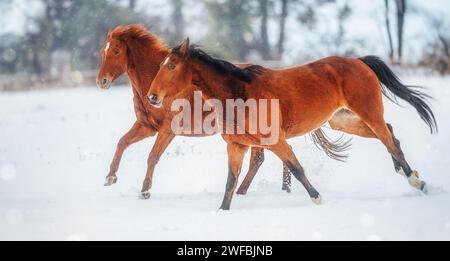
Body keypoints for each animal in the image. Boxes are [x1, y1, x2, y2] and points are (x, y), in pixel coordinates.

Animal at [95, 24, 342, 197]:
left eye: (116, 51)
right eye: (102, 51)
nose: (101, 81)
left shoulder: (167, 130)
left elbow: (152, 156)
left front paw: (145, 190)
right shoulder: (147, 126)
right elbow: (122, 143)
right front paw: (110, 177)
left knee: (260, 159)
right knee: (262, 159)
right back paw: (263, 190)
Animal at [147, 38, 436, 209]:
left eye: (171, 66)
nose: (152, 96)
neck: (239, 93)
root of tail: (358, 61)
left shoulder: (276, 141)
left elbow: (296, 169)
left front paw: (317, 198)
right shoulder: (236, 146)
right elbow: (231, 182)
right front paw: (222, 211)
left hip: (368, 111)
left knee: (388, 139)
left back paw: (416, 181)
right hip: (341, 120)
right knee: (390, 134)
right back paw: (405, 172)